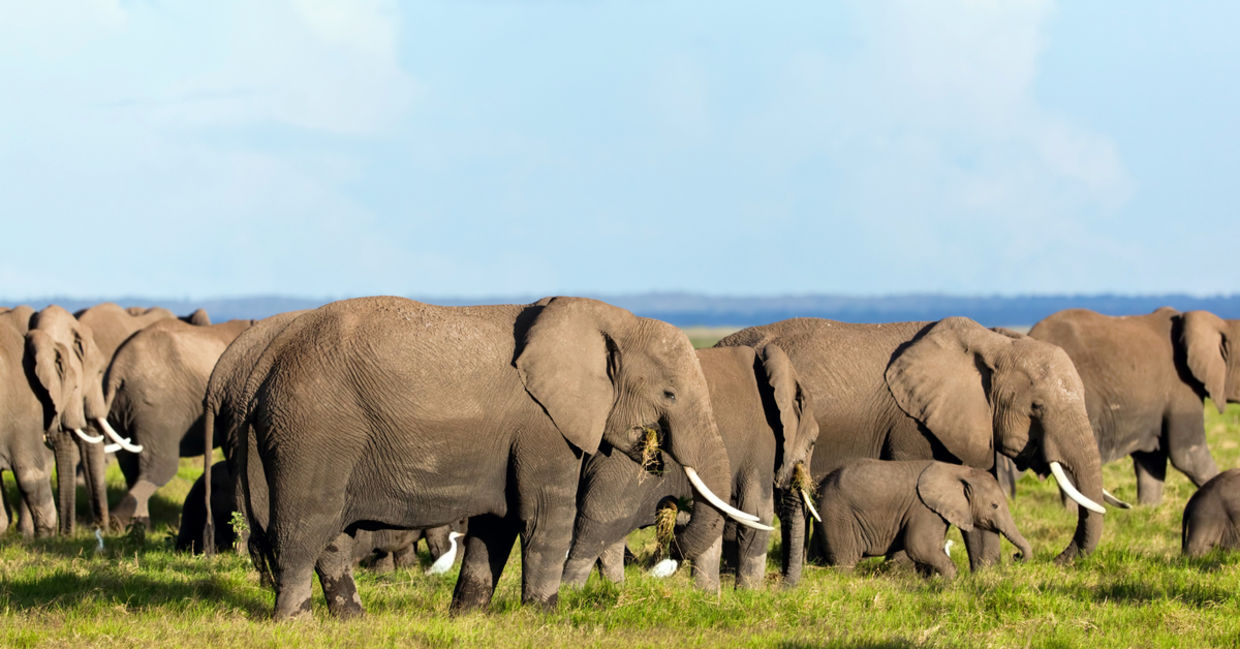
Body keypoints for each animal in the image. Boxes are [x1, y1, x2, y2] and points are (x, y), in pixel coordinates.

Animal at [105, 317, 253, 529]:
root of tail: (118, 369)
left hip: (121, 410)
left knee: (130, 467)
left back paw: (136, 525)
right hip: (159, 408)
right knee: (161, 466)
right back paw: (120, 521)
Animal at [231, 296, 756, 620]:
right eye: (669, 394)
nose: (671, 523)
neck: (603, 318)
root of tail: (264, 366)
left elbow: (496, 525)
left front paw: (467, 616)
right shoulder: (543, 424)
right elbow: (546, 517)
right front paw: (544, 616)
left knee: (332, 538)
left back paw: (353, 621)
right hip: (313, 431)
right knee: (306, 528)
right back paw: (296, 623)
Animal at [563, 343, 818, 590]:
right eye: (813, 442)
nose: (783, 588)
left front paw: (707, 596)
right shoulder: (761, 442)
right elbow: (757, 512)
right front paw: (748, 594)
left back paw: (615, 588)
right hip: (619, 461)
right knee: (601, 520)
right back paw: (572, 592)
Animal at [816, 459, 1032, 578]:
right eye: (995, 505)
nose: (1016, 557)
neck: (958, 470)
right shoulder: (924, 509)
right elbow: (919, 546)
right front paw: (950, 582)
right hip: (838, 514)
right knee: (845, 561)